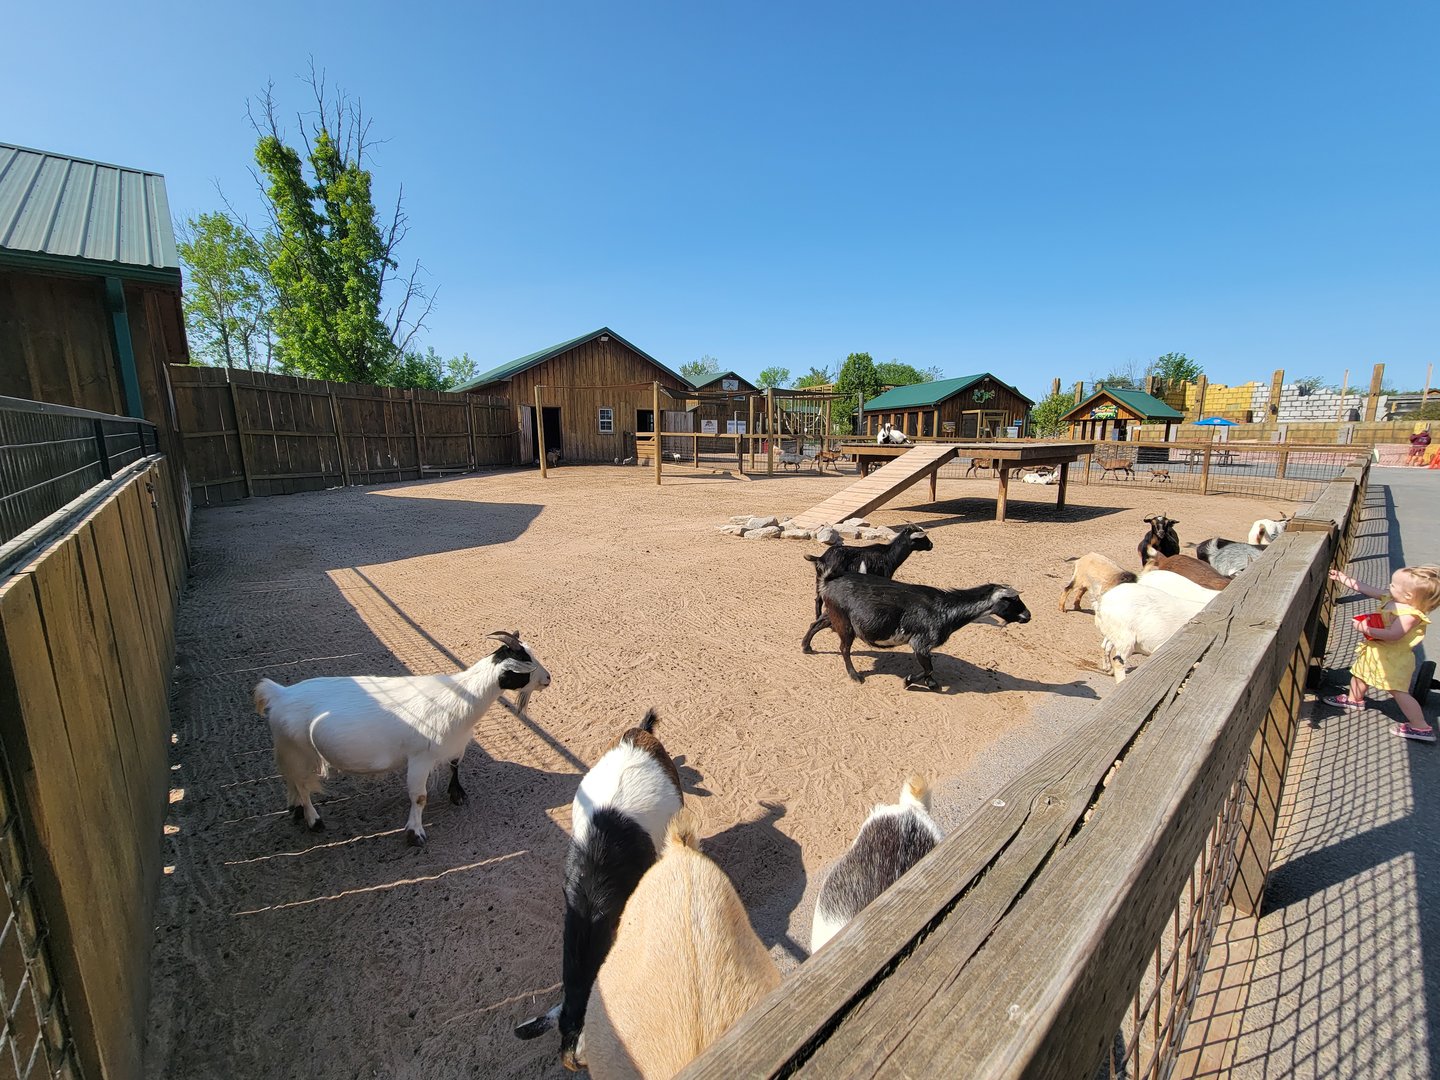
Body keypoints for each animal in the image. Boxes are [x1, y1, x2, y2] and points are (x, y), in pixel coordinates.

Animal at [254, 631, 550, 844]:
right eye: (526, 663)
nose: (548, 678)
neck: (459, 696)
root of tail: (279, 693)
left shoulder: (453, 747)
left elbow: (455, 766)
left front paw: (457, 794)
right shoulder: (420, 757)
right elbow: (419, 797)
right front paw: (415, 834)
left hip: (291, 751)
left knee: (291, 780)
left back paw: (296, 810)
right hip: (298, 751)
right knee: (303, 786)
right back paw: (313, 821)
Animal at [802, 574, 1031, 691]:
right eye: (1013, 600)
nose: (1028, 616)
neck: (946, 608)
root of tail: (827, 584)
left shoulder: (924, 646)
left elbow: (929, 667)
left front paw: (931, 683)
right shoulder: (921, 642)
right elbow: (928, 667)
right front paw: (909, 681)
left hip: (833, 615)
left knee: (815, 624)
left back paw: (806, 647)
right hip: (844, 622)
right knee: (843, 647)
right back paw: (855, 675)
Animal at [803, 523, 933, 620]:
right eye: (921, 537)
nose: (931, 545)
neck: (889, 555)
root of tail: (821, 558)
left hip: (819, 580)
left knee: (818, 600)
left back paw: (818, 617)